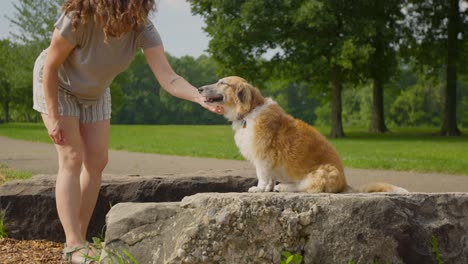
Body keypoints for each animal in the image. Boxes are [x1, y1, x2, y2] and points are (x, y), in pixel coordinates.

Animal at [198, 76, 410, 194]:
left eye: (222, 83)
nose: (199, 89)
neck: (250, 111)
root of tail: (344, 185)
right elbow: (268, 178)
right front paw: (267, 188)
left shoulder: (263, 157)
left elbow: (262, 176)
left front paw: (260, 189)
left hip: (323, 172)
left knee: (308, 188)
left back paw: (284, 188)